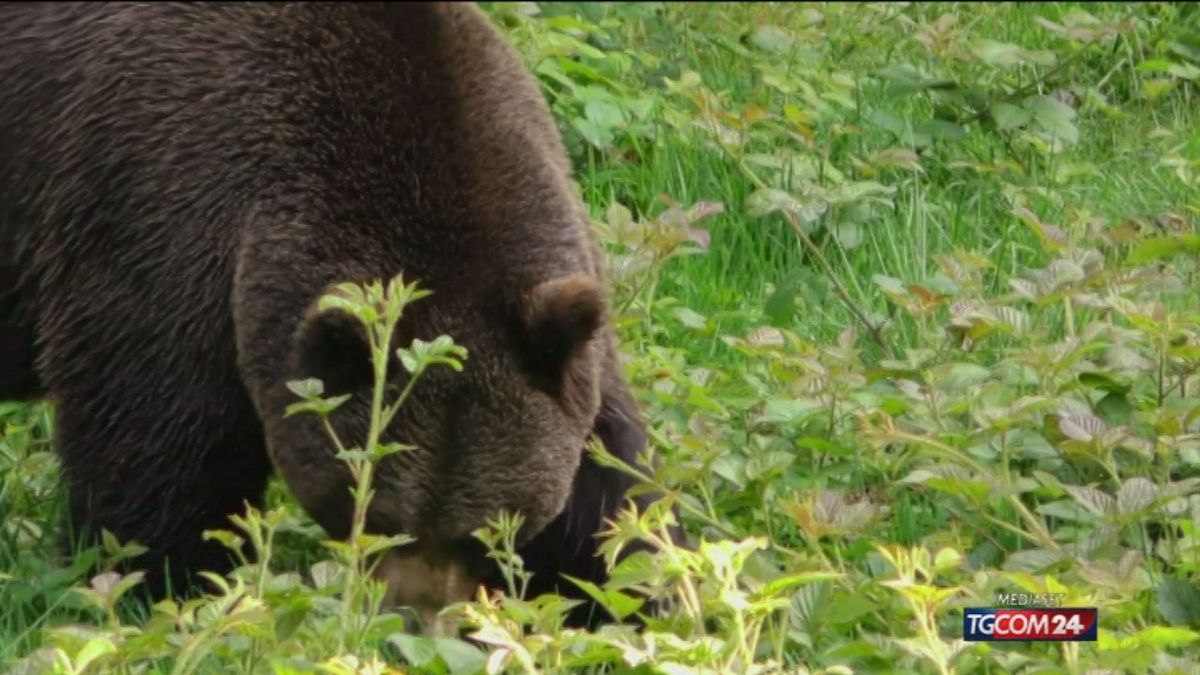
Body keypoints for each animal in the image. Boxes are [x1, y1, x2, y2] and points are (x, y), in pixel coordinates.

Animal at [0, 2, 680, 630]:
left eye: (487, 529)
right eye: (377, 516)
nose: (414, 622)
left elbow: (611, 483)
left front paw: (632, 596)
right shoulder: (162, 224)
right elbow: (154, 457)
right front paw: (165, 591)